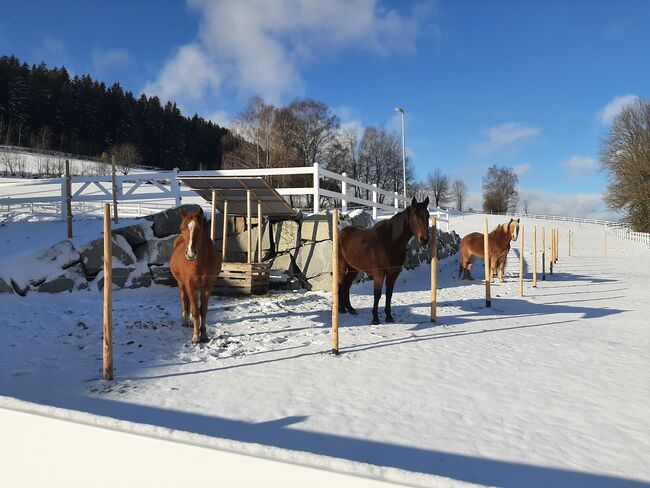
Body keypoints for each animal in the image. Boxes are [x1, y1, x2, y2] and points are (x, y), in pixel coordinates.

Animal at [168, 206, 221, 344]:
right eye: (182, 228)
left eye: (199, 228)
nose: (191, 254)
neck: (199, 263)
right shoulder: (190, 286)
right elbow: (195, 310)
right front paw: (196, 337)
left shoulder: (207, 287)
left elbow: (203, 310)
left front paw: (204, 335)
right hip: (181, 284)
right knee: (184, 300)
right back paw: (185, 321)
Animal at [334, 196, 430, 326]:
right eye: (415, 216)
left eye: (428, 216)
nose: (424, 239)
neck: (390, 242)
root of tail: (342, 233)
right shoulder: (379, 273)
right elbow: (377, 294)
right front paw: (375, 318)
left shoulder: (393, 273)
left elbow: (389, 294)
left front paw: (389, 316)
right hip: (342, 266)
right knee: (340, 284)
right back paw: (341, 309)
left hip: (353, 268)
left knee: (347, 286)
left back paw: (350, 308)